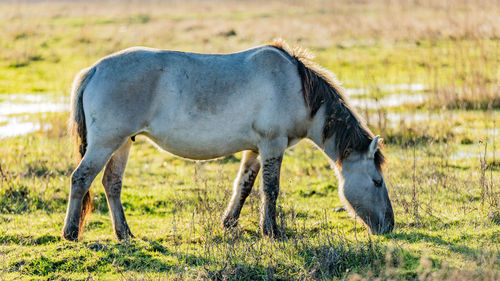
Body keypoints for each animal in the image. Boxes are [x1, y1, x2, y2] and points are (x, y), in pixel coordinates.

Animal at [62, 39, 392, 241]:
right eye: (377, 182)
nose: (389, 225)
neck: (295, 87)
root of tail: (95, 69)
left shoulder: (255, 150)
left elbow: (244, 186)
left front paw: (229, 222)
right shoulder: (272, 145)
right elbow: (270, 190)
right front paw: (271, 232)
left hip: (122, 143)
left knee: (111, 184)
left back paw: (125, 234)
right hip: (105, 143)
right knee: (81, 179)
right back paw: (70, 233)